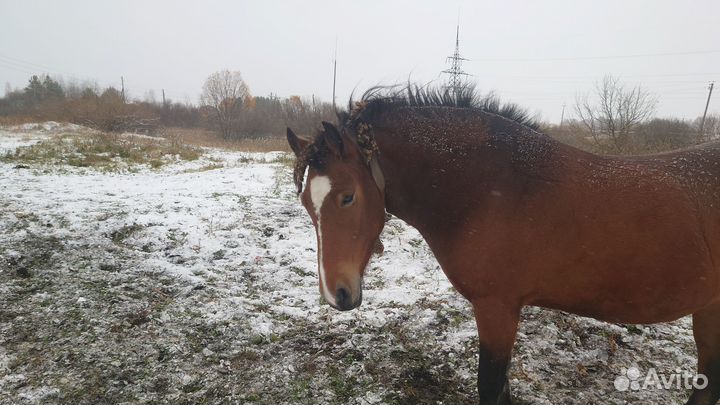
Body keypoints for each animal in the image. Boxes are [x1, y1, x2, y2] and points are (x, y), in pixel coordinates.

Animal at [286, 84, 720, 405]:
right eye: (307, 201)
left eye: (347, 197)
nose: (337, 294)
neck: (493, 191)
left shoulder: (497, 309)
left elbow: (492, 388)